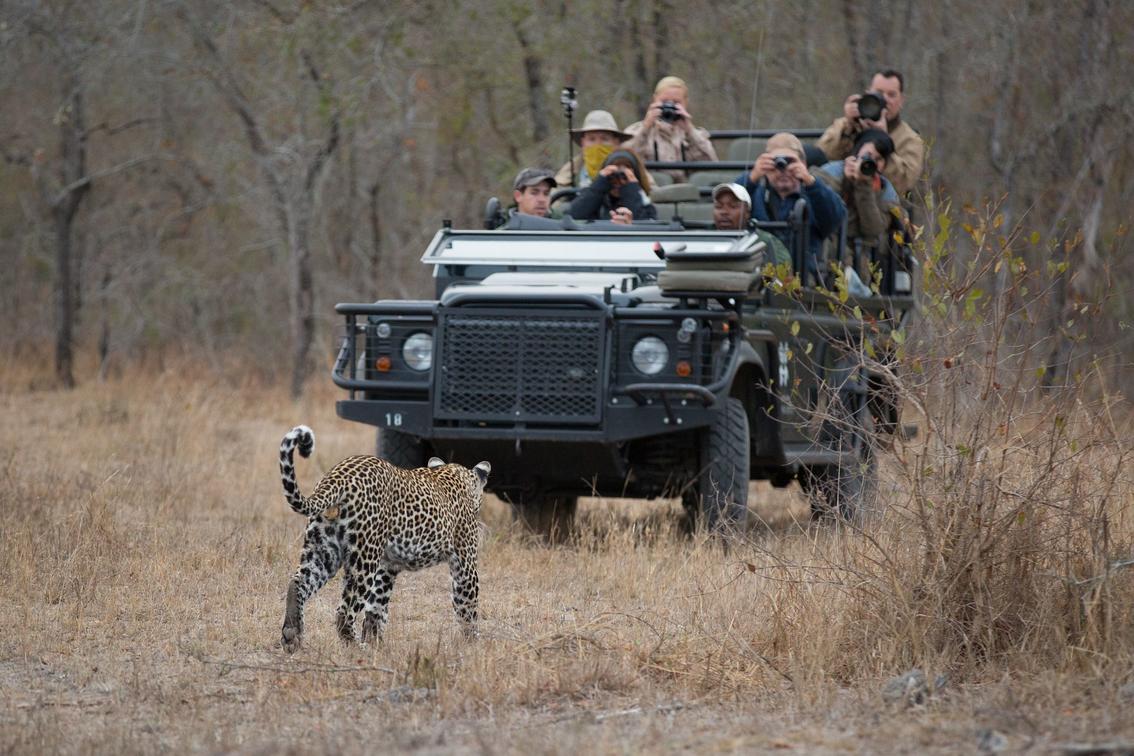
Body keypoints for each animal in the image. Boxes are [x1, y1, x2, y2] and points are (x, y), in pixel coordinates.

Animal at [277, 425, 490, 652]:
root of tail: (336, 476)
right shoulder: (465, 563)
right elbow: (468, 606)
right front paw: (473, 644)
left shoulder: (387, 567)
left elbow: (377, 607)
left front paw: (376, 643)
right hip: (364, 558)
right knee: (344, 611)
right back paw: (356, 647)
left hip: (323, 549)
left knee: (297, 583)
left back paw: (292, 635)